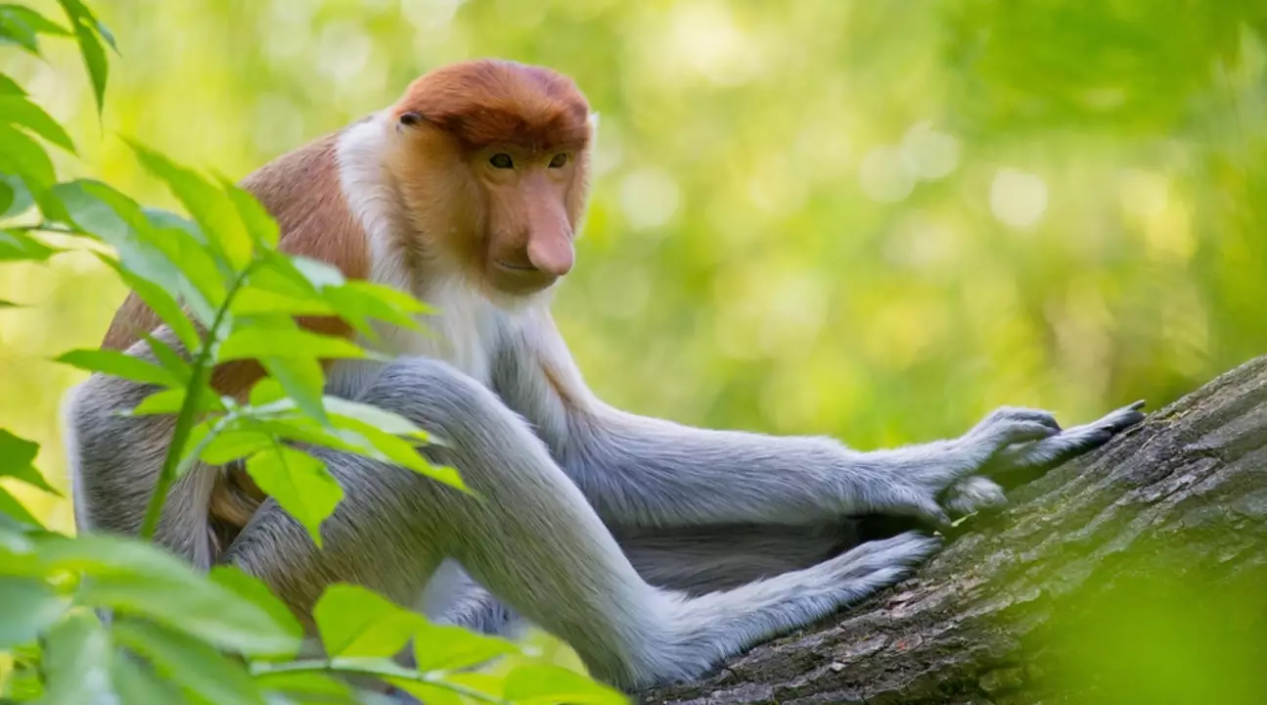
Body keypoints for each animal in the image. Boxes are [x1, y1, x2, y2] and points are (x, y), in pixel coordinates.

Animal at [61, 59, 1150, 689]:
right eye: (499, 162)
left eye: (554, 164)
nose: (548, 241)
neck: (419, 229)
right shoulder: (313, 251)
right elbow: (121, 407)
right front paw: (173, 650)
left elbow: (579, 445)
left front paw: (923, 467)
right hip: (301, 595)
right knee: (436, 416)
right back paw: (670, 648)